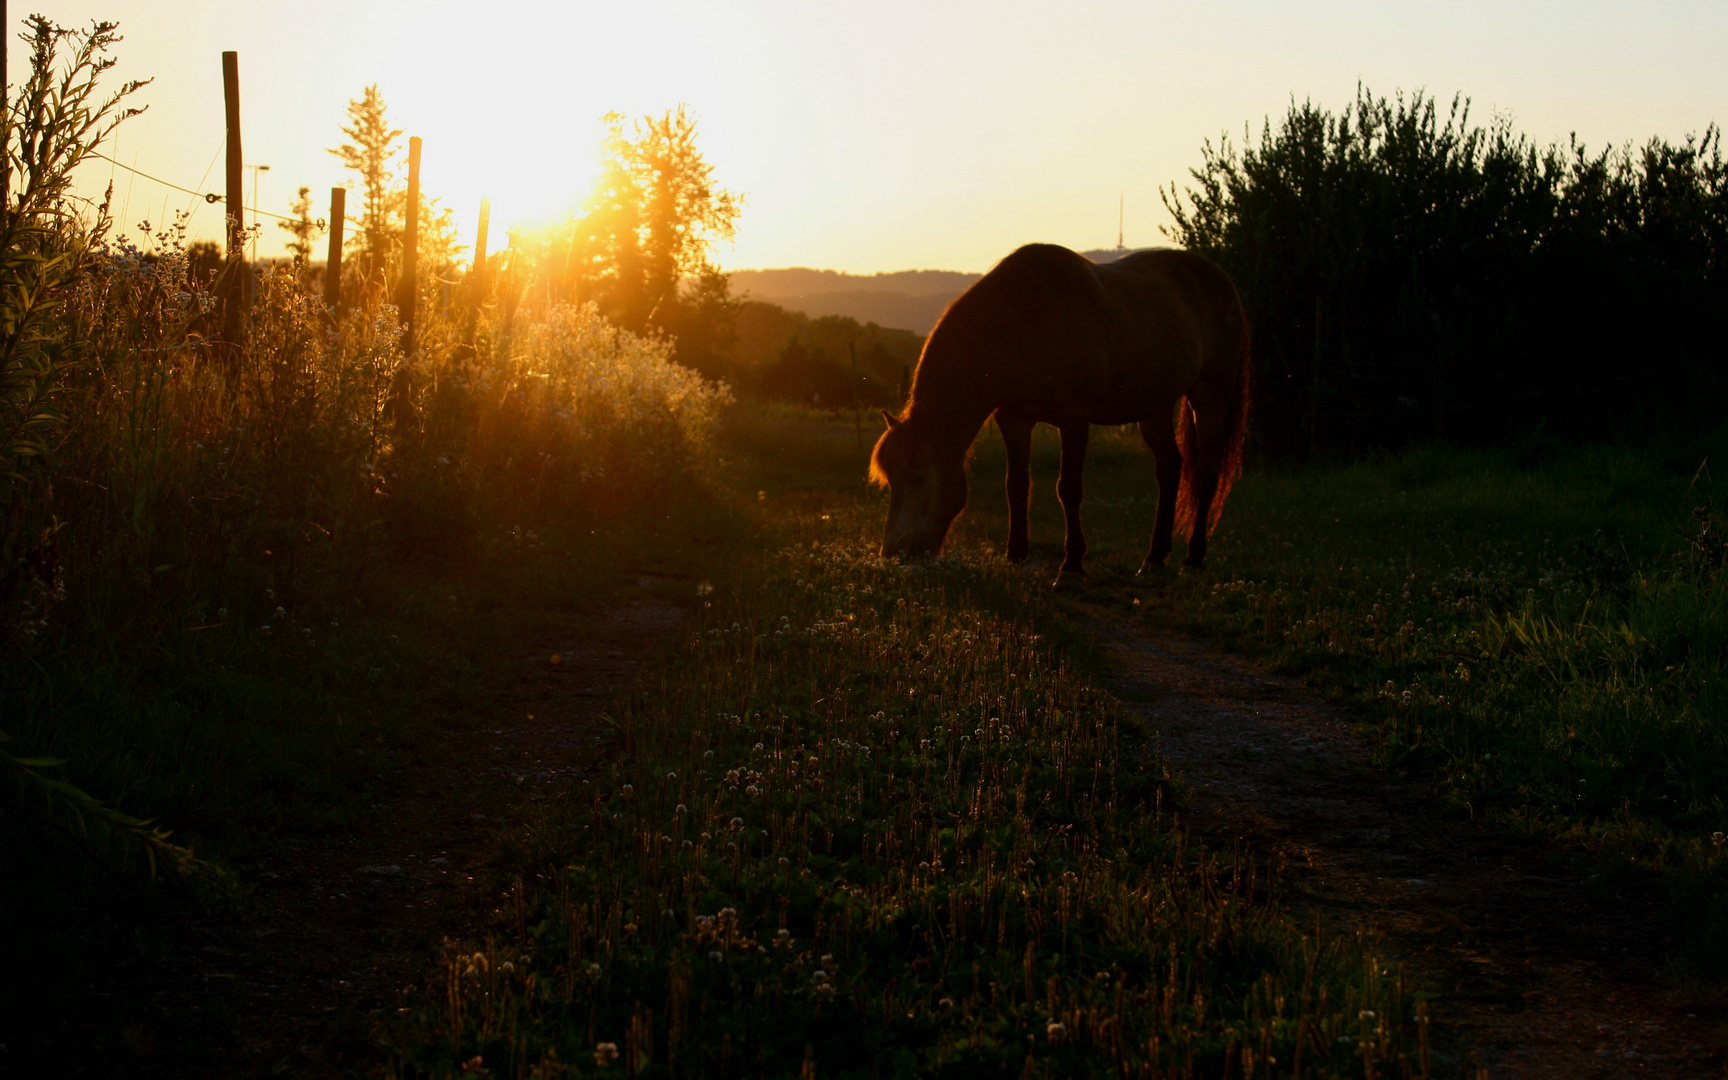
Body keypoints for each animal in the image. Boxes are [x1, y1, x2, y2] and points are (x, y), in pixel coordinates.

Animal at [870, 241, 1251, 590]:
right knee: (1170, 468)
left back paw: (1194, 558)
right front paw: (1015, 555)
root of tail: (1220, 279)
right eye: (891, 481)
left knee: (1206, 472)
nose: (892, 554)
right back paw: (1155, 558)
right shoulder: (1014, 420)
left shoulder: (1074, 421)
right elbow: (1016, 485)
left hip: (1210, 397)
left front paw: (1071, 566)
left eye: (919, 478)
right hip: (1154, 406)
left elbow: (1068, 489)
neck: (1025, 324)